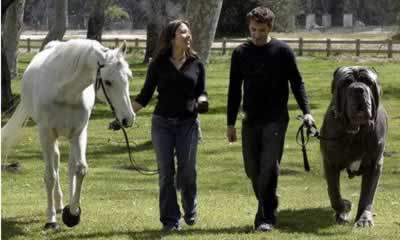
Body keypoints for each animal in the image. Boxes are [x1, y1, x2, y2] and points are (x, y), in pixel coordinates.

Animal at [0, 38, 136, 230]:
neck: (64, 92)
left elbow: (80, 169)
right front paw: (51, 219)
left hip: (72, 138)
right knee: (56, 162)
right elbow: (50, 176)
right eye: (108, 82)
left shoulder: (79, 132)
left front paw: (72, 213)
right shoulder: (46, 134)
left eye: (129, 77)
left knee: (71, 166)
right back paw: (57, 206)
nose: (127, 119)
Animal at [322, 66, 388, 227]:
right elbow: (334, 193)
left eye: (368, 82)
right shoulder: (330, 162)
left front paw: (364, 220)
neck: (355, 132)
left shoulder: (374, 165)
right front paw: (344, 208)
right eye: (346, 83)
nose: (358, 89)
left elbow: (367, 195)